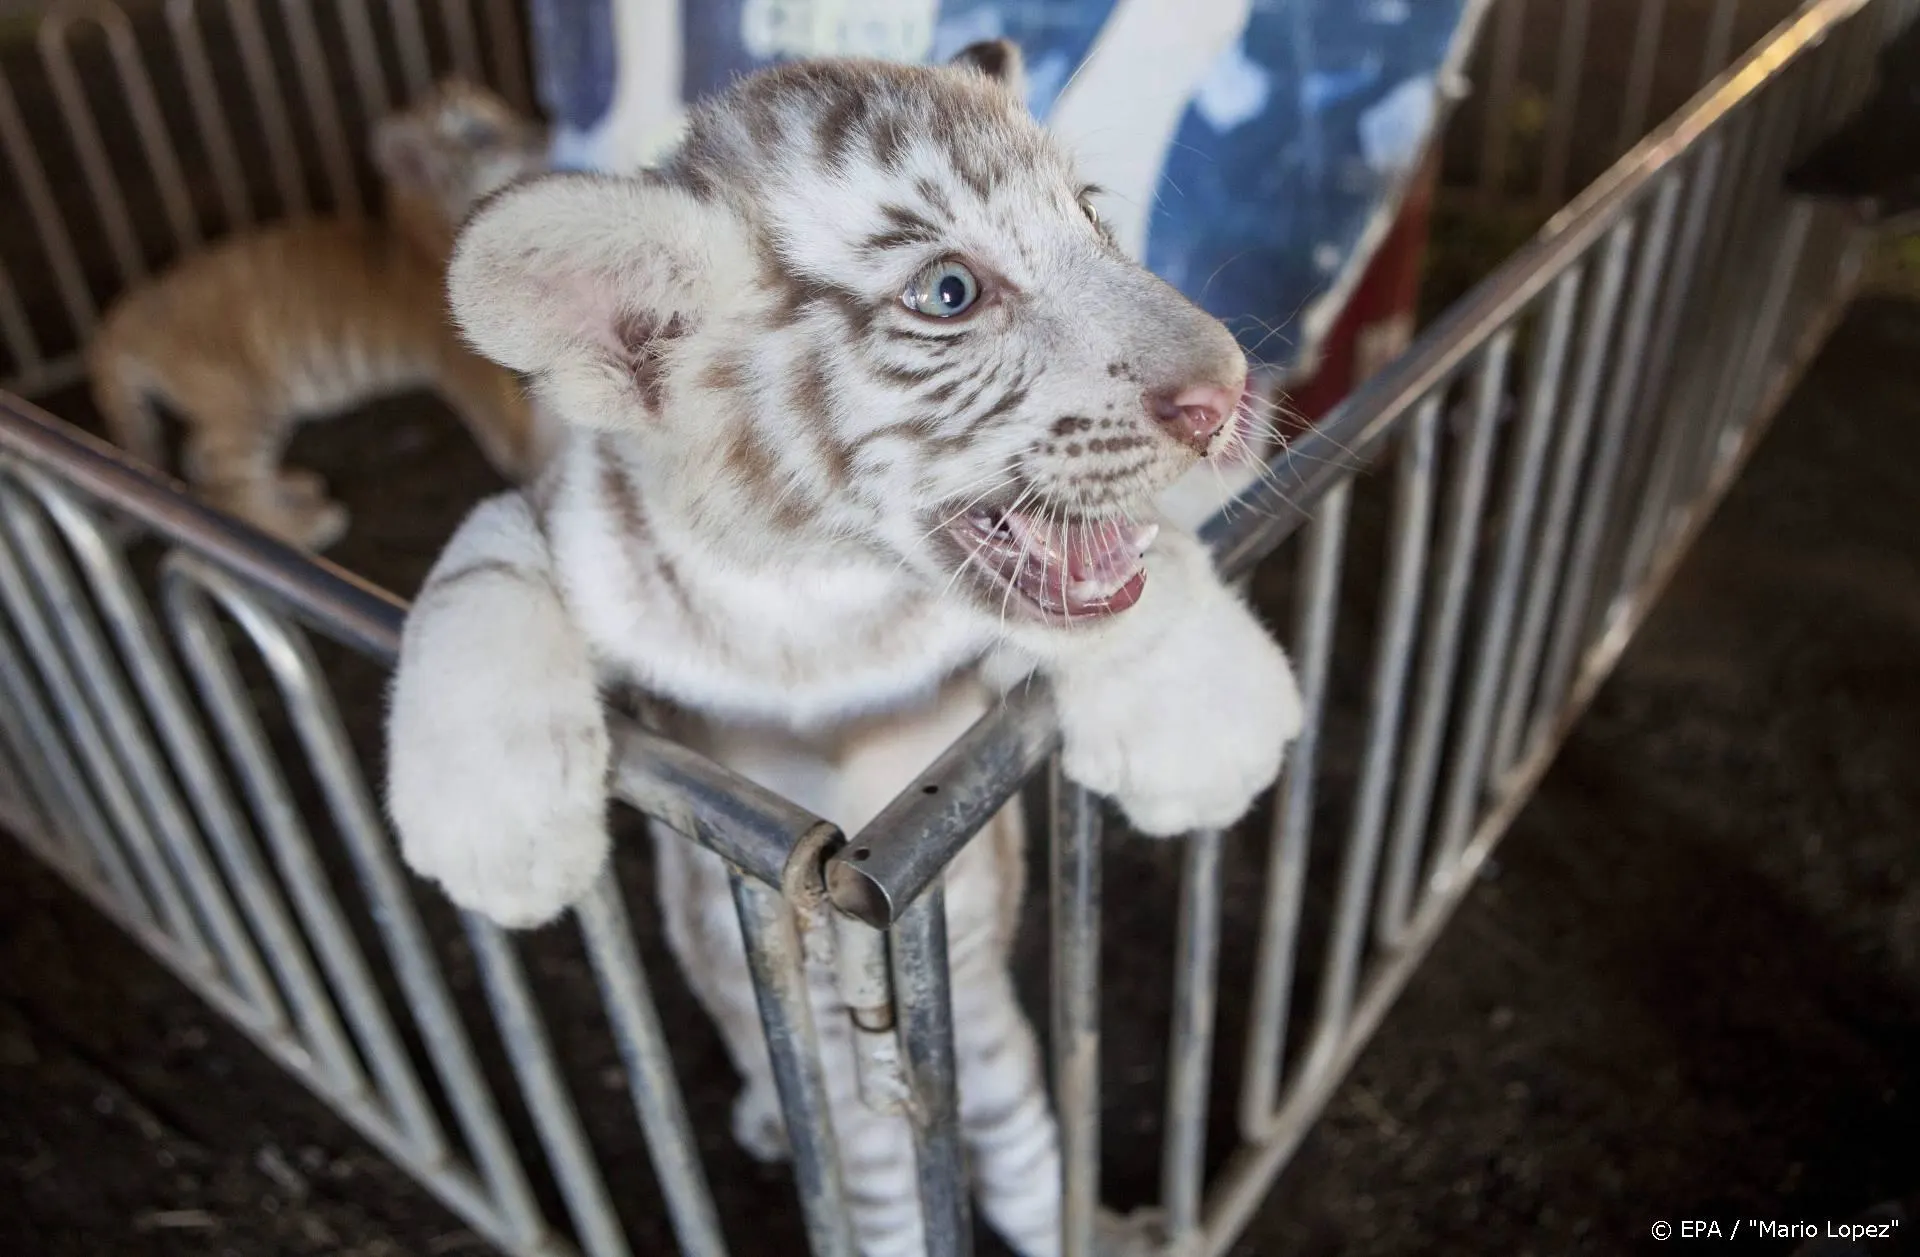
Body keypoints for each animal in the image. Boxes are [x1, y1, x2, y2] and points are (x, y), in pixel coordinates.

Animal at [85, 80, 550, 550]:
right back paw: (306, 527)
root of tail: (120, 316)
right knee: (224, 484)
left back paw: (295, 489)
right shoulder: (465, 364)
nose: (543, 133)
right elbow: (513, 430)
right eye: (481, 136)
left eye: (502, 109)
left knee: (201, 462)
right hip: (241, 400)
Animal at [384, 42, 1303, 1257]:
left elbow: (1137, 579)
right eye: (949, 292)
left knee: (1026, 1174)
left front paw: (1211, 724)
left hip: (993, 1073)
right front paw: (493, 833)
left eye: (1095, 220)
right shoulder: (566, 523)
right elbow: (477, 562)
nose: (1228, 390)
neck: (817, 607)